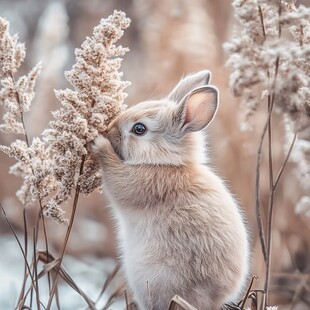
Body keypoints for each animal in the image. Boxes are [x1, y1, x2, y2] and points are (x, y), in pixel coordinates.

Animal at [92, 71, 249, 310]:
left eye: (139, 129)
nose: (108, 131)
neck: (166, 163)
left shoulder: (139, 184)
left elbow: (116, 176)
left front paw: (99, 144)